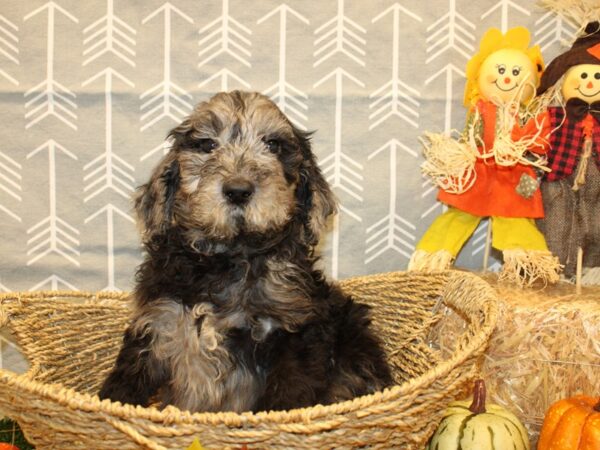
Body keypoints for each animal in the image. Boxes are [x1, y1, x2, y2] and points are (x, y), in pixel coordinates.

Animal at [99, 90, 394, 412]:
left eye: (273, 145)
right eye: (207, 145)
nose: (238, 190)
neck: (229, 257)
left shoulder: (297, 330)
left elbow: (285, 397)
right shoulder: (157, 321)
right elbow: (126, 380)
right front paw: (109, 405)